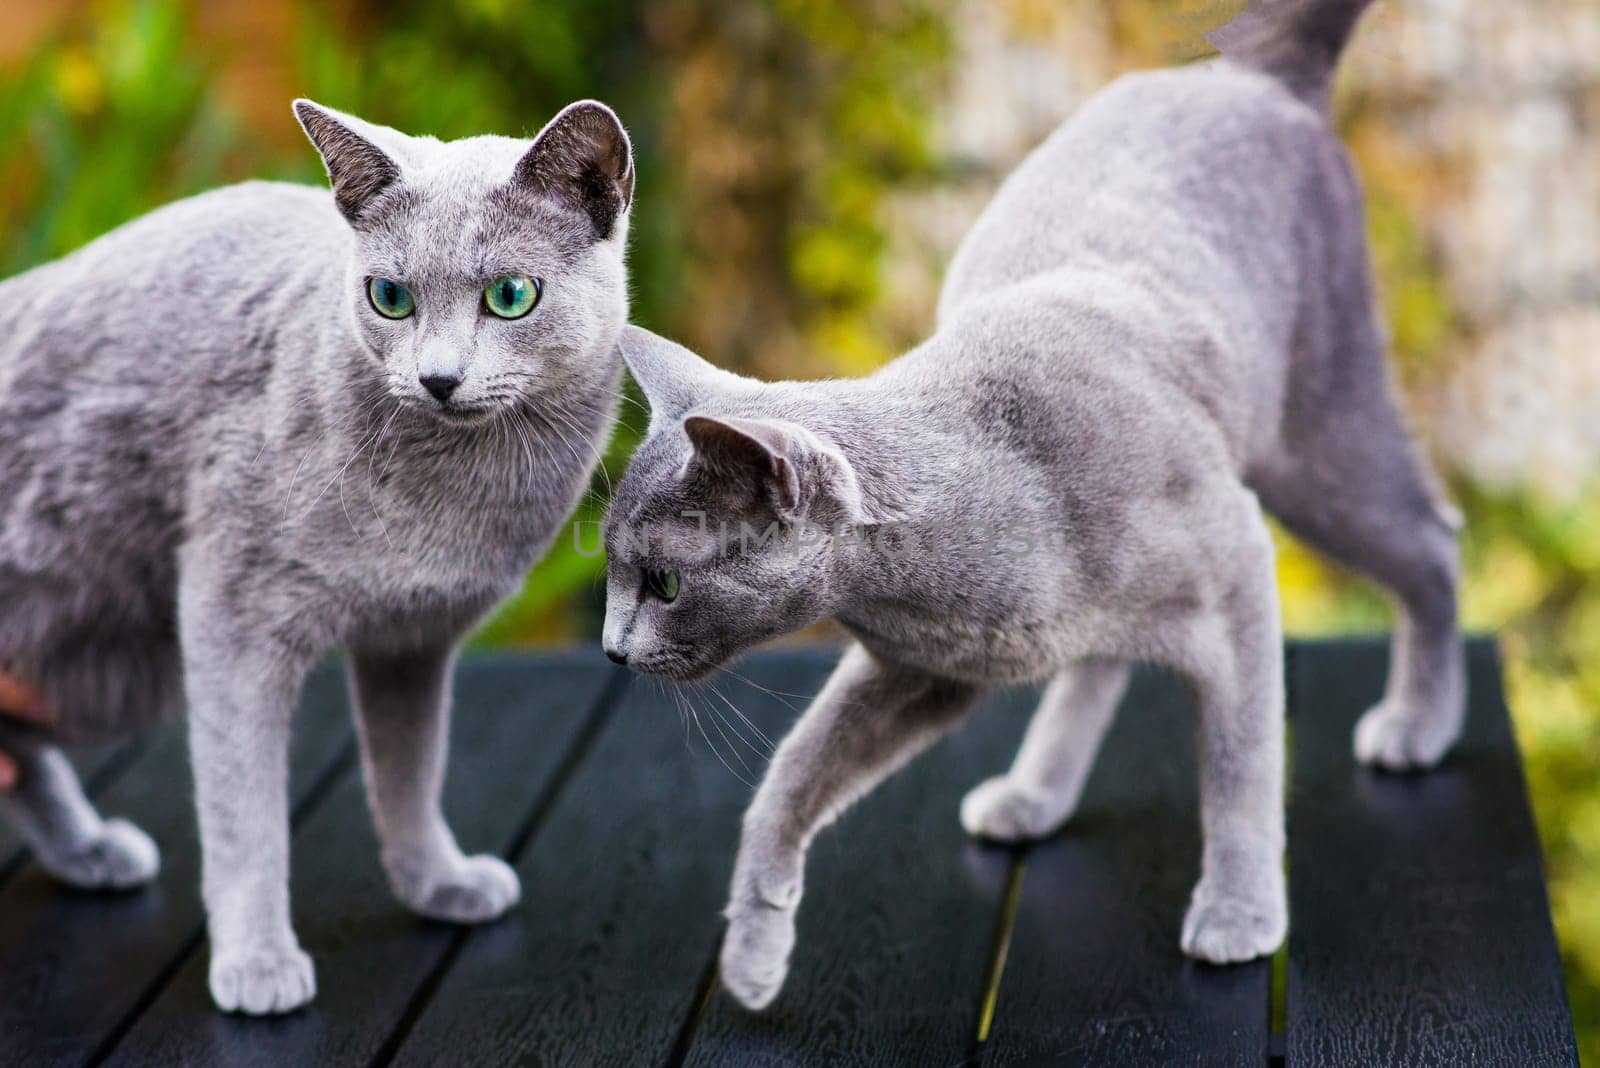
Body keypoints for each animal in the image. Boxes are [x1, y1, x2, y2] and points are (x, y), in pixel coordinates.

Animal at [0, 97, 633, 1010]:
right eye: (390, 297)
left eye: (511, 296)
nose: (438, 378)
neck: (452, 496)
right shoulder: (231, 614)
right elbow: (246, 812)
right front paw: (258, 962)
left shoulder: (413, 640)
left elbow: (411, 772)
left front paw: (439, 881)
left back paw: (91, 851)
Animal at [601, 0, 1465, 1016]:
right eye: (612, 569)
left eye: (663, 582)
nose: (611, 649)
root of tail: (1254, 77)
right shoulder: (921, 669)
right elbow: (791, 775)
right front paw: (754, 948)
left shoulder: (1237, 566)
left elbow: (1241, 761)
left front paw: (1239, 913)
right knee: (1100, 658)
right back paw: (1032, 793)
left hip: (1316, 438)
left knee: (1433, 539)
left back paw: (1420, 723)